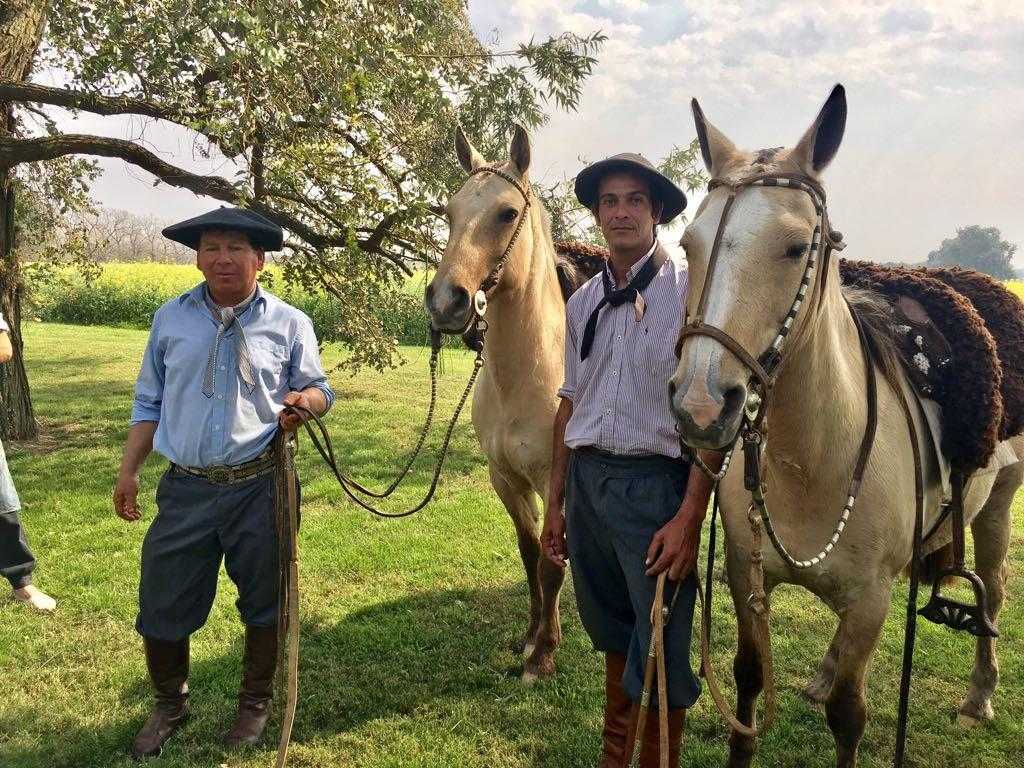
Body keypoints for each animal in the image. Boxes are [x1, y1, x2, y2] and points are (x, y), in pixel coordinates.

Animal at [671, 85, 1024, 768]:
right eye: (689, 246)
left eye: (794, 247)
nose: (700, 404)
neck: (812, 461)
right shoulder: (745, 575)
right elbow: (749, 680)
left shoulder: (870, 603)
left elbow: (848, 716)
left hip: (1000, 501)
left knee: (992, 589)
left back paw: (979, 694)